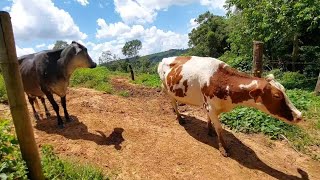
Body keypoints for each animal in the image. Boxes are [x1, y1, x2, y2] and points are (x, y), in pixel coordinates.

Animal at [158, 56, 302, 156]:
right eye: (277, 96)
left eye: (284, 90)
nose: (299, 115)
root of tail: (165, 59)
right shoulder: (211, 107)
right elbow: (220, 129)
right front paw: (223, 148)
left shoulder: (210, 106)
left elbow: (210, 121)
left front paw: (209, 130)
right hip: (166, 88)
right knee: (173, 102)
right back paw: (179, 117)